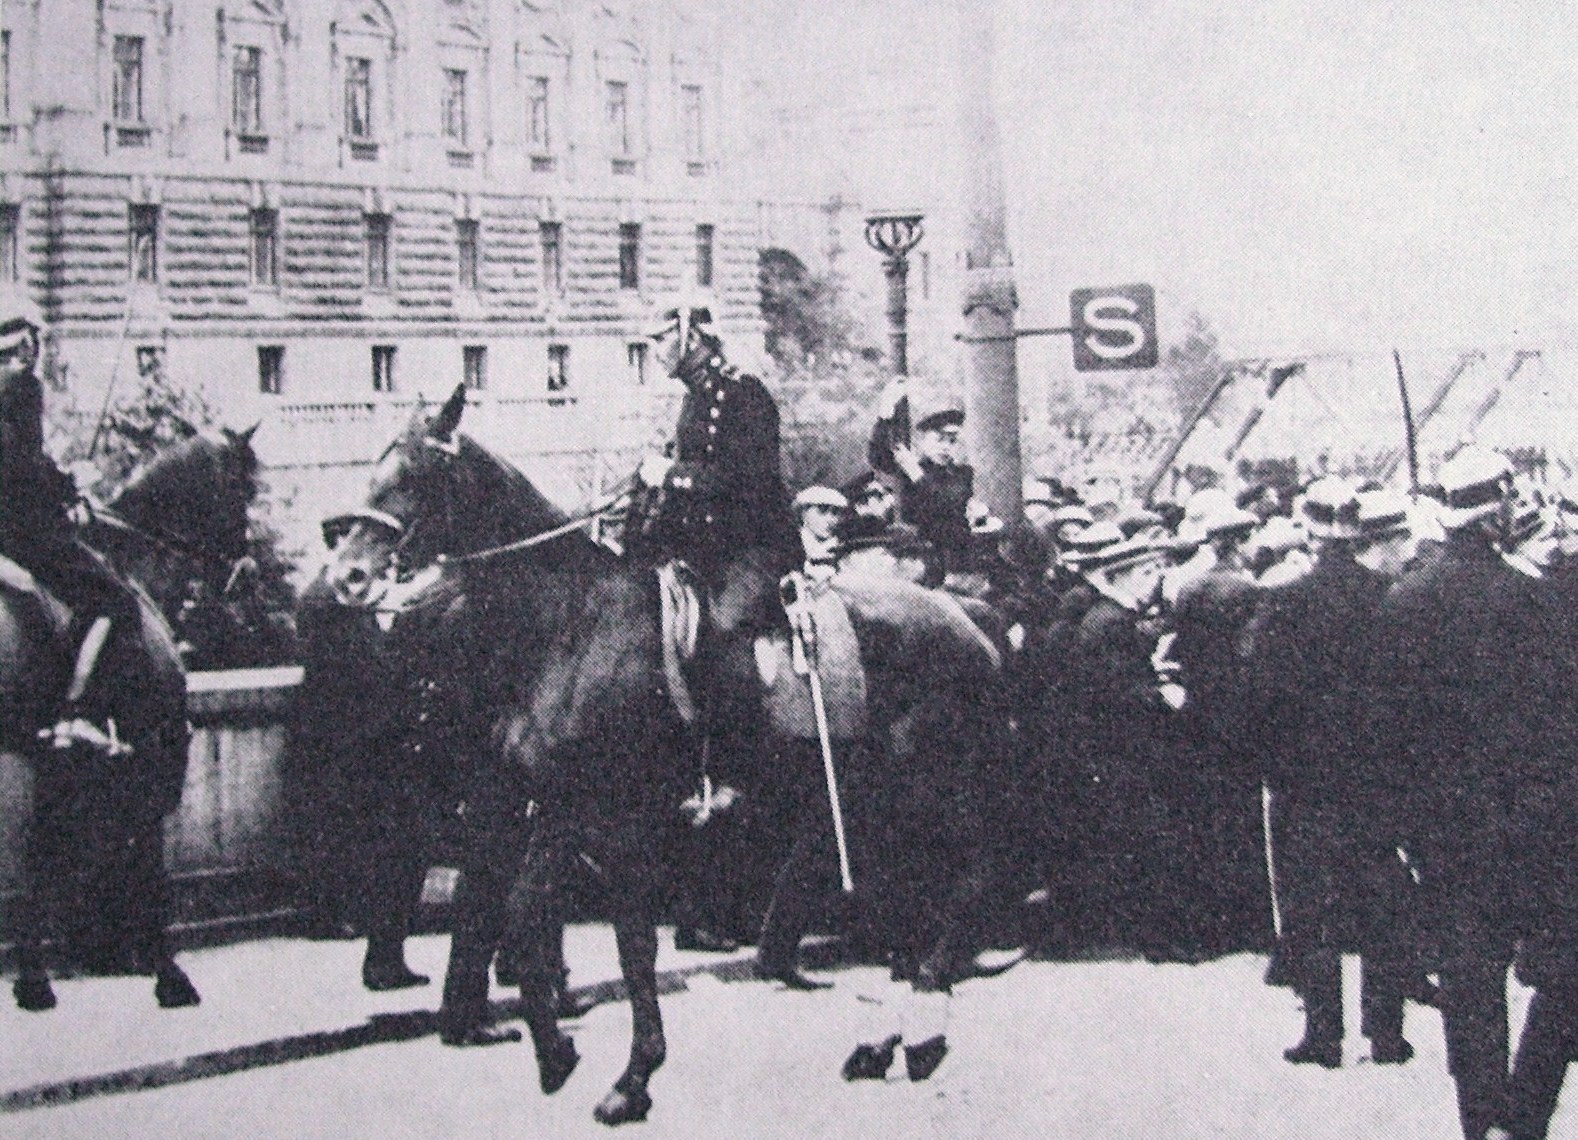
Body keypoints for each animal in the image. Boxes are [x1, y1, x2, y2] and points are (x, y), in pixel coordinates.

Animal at [1, 423, 258, 1004]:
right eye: (246, 490)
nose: (245, 573)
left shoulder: (64, 762)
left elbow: (45, 858)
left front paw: (33, 979)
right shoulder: (154, 747)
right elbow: (147, 861)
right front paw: (169, 973)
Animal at [325, 386, 1003, 1124]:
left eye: (416, 476)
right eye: (373, 473)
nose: (347, 576)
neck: (572, 623)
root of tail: (967, 623)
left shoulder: (606, 814)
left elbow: (602, 936)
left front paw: (607, 1068)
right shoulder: (564, 810)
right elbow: (559, 928)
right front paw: (589, 1063)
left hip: (927, 786)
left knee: (969, 881)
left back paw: (926, 1026)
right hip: (869, 794)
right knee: (906, 893)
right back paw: (886, 1039)